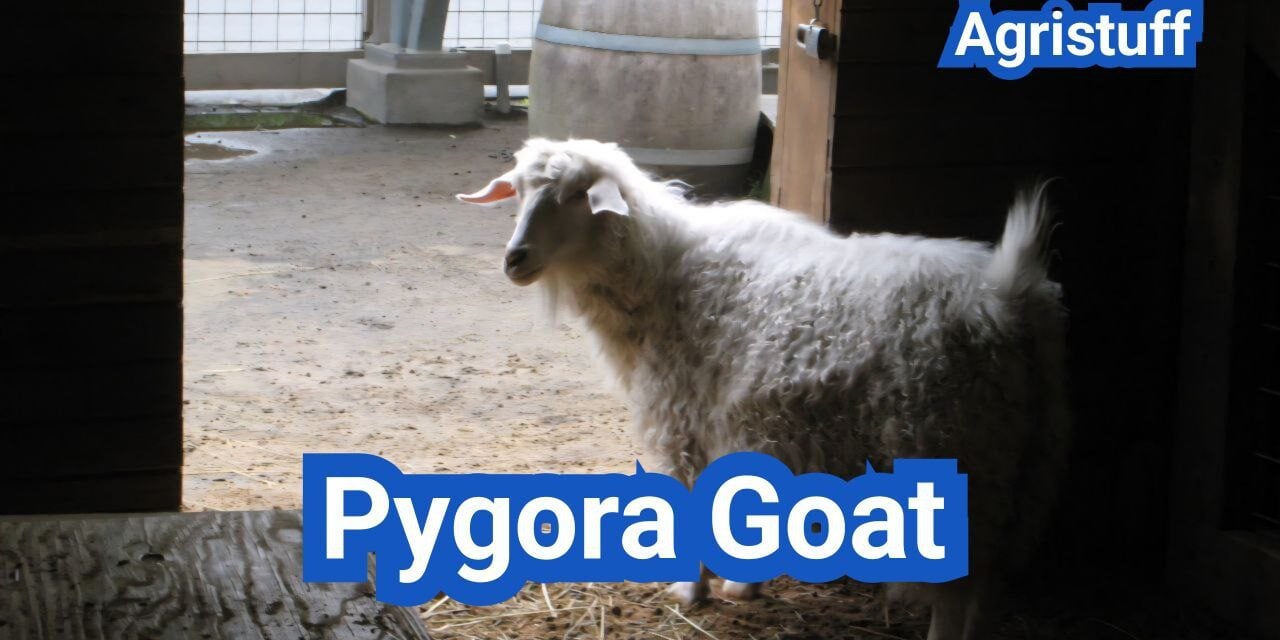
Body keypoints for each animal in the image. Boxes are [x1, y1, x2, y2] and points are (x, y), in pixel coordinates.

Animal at [458, 138, 1070, 640]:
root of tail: (1005, 298)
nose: (514, 259)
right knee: (988, 584)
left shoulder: (682, 420)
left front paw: (692, 592)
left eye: (576, 196)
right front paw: (744, 587)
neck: (666, 274)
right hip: (1018, 465)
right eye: (519, 193)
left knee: (960, 588)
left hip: (951, 447)